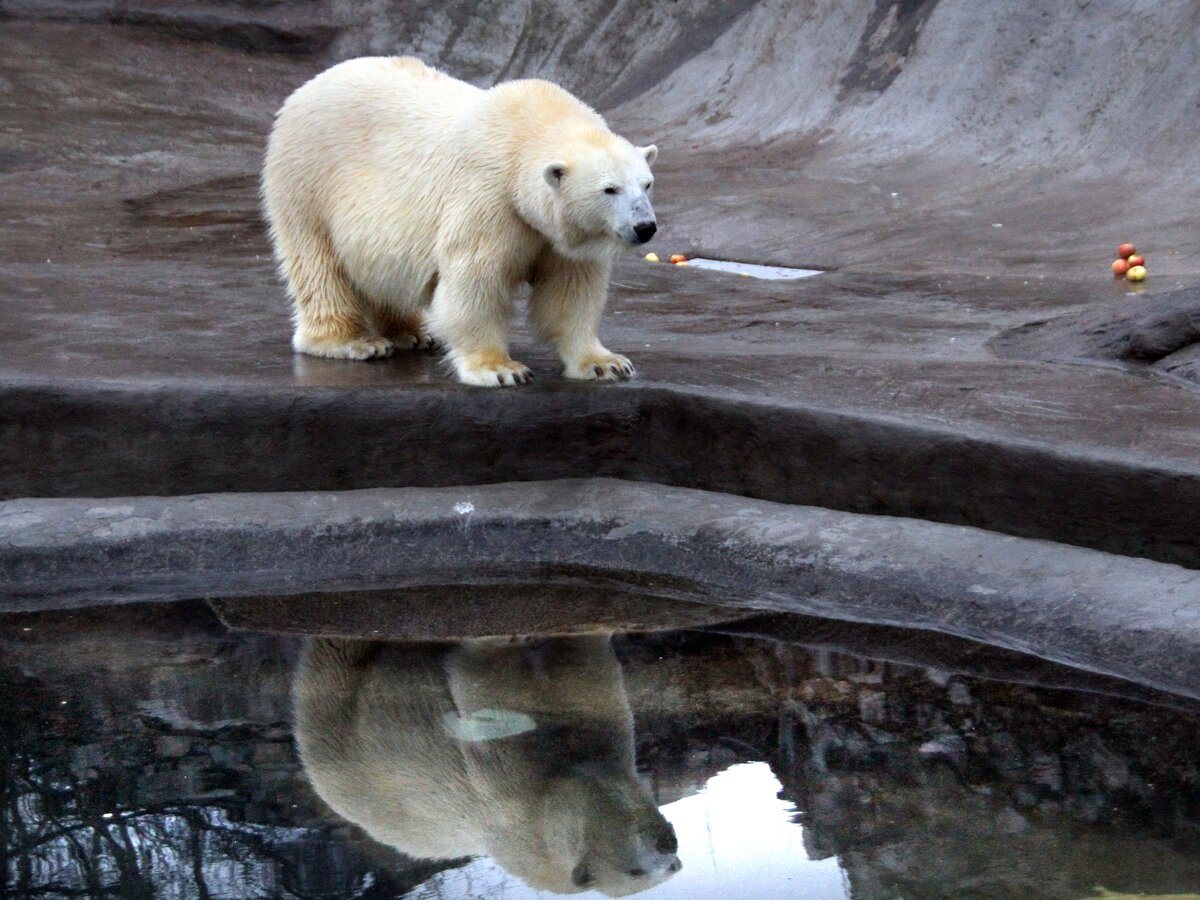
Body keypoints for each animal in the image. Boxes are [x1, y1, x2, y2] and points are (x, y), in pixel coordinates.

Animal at [262, 56, 662, 388]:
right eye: (609, 189)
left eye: (646, 184)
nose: (645, 227)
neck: (527, 130)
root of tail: (307, 87)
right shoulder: (489, 197)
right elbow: (476, 281)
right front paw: (500, 369)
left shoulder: (558, 236)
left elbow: (570, 291)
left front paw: (606, 363)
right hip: (307, 182)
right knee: (319, 266)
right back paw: (353, 341)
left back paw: (414, 332)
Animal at [291, 638, 681, 897]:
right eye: (634, 871)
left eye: (673, 867)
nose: (667, 843)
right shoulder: (514, 794)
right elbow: (483, 677)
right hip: (342, 713)